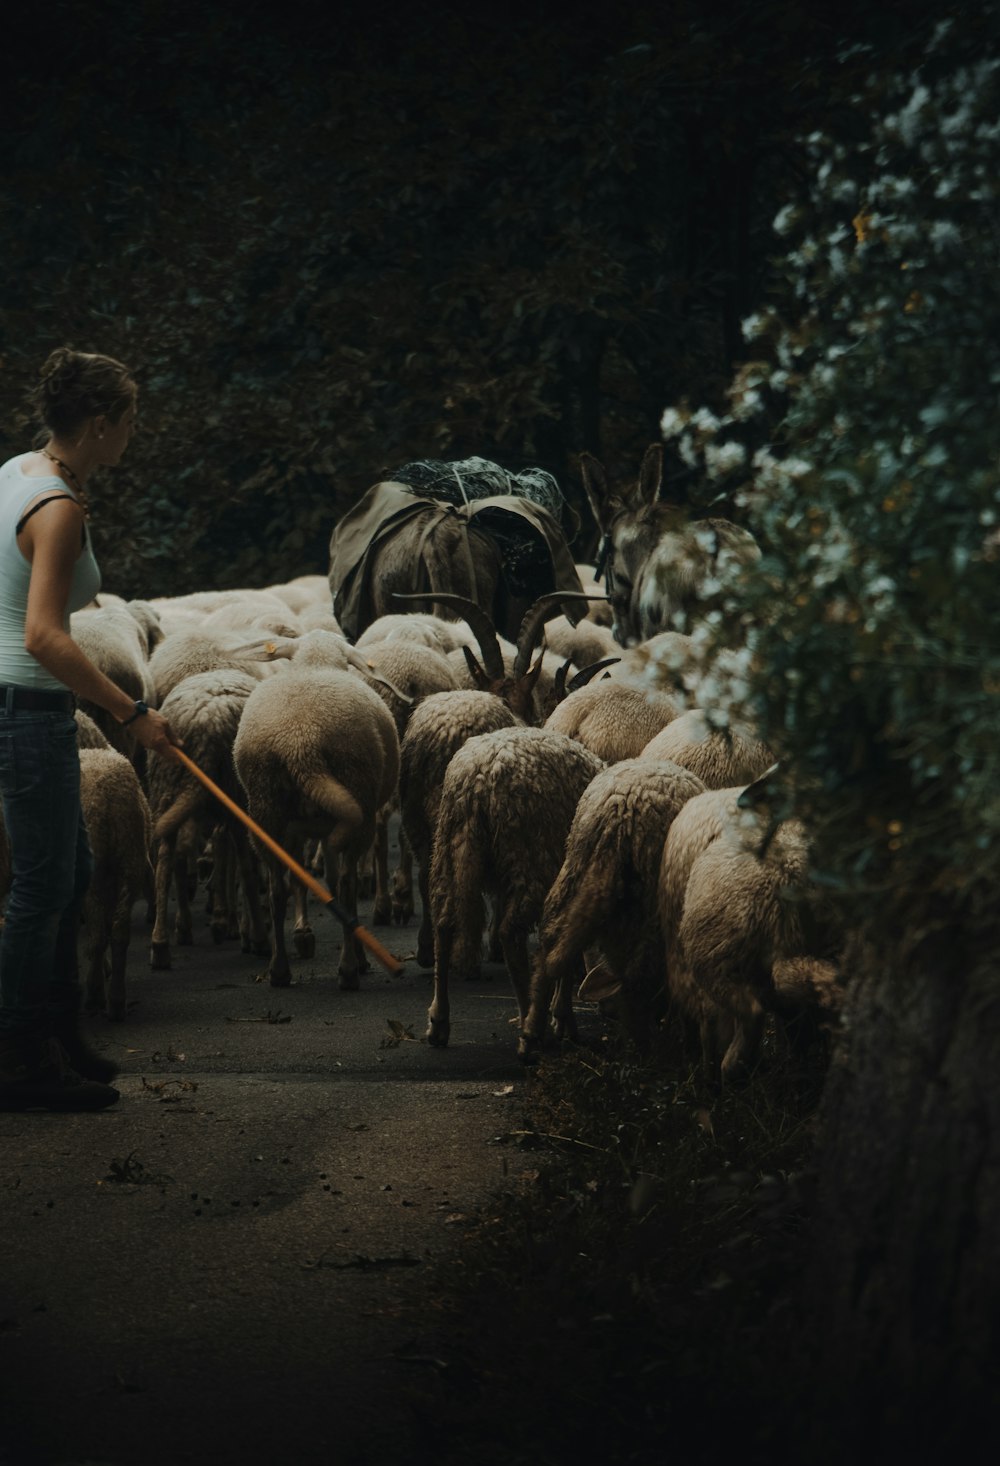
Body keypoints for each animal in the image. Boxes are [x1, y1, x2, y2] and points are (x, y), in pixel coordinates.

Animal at [77, 744, 153, 1020]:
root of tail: (110, 798)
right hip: (130, 861)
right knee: (119, 932)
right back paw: (117, 1001)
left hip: (96, 871)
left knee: (99, 935)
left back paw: (94, 995)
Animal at [145, 671, 266, 967]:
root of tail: (204, 727)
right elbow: (236, 861)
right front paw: (235, 924)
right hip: (233, 792)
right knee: (245, 865)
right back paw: (258, 937)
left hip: (167, 789)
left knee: (167, 859)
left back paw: (162, 943)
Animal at [233, 662, 395, 985]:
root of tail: (300, 740)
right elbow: (333, 881)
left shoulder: (306, 830)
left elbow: (306, 878)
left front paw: (303, 935)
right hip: (357, 791)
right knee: (347, 885)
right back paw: (349, 968)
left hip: (265, 810)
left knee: (277, 889)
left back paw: (279, 970)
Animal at [425, 727, 604, 1049]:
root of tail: (478, 778)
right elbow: (564, 955)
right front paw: (563, 1017)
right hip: (530, 857)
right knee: (510, 935)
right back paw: (529, 1021)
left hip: (447, 846)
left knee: (443, 926)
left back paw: (439, 1021)